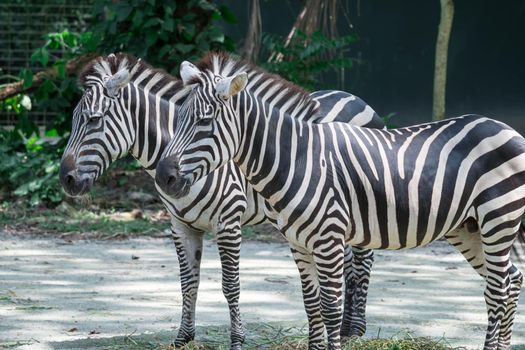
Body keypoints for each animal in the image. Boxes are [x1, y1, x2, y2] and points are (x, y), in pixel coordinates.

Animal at [59, 53, 382, 348]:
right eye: (74, 121)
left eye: (94, 120)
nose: (66, 180)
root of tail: (353, 97)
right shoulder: (180, 226)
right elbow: (188, 283)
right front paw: (183, 338)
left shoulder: (228, 222)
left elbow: (230, 286)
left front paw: (237, 340)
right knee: (349, 262)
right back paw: (343, 328)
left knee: (362, 261)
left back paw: (356, 329)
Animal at [155, 51, 524, 350]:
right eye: (178, 116)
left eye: (204, 121)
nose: (163, 177)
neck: (297, 159)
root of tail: (505, 127)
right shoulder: (298, 243)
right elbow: (311, 306)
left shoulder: (328, 240)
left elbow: (330, 310)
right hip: (469, 227)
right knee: (509, 280)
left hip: (498, 219)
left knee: (497, 289)